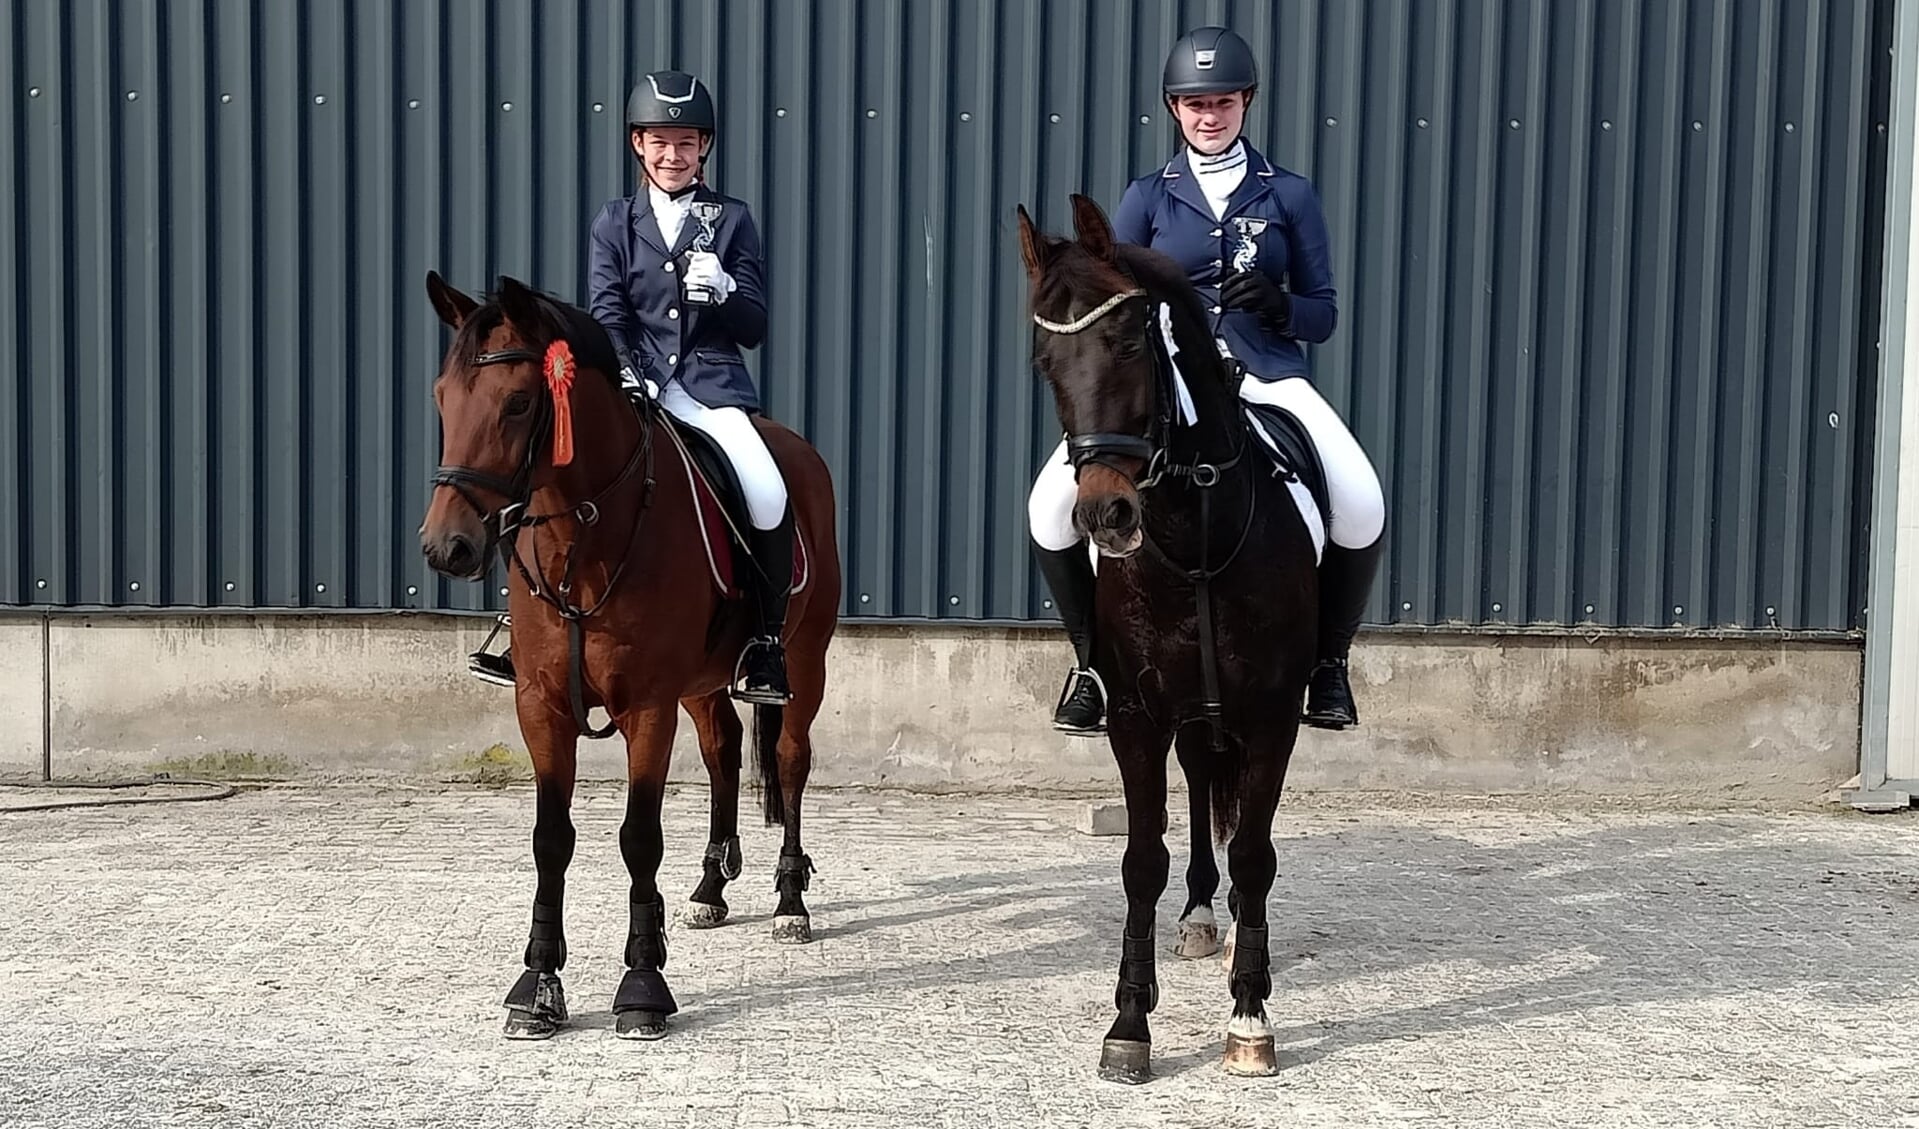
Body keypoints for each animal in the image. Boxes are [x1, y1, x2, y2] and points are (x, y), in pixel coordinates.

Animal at [420, 266, 840, 1044]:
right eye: (442, 397)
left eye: (518, 401)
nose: (446, 548)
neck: (585, 536)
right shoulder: (542, 706)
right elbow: (550, 838)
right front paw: (537, 985)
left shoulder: (646, 705)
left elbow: (639, 836)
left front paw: (642, 985)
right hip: (701, 683)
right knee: (723, 749)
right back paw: (710, 887)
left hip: (805, 656)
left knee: (791, 759)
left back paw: (790, 902)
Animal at [1020, 198, 1320, 1082]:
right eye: (1045, 359)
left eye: (1126, 341)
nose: (1104, 516)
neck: (1193, 533)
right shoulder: (1136, 717)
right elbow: (1139, 860)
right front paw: (1128, 1023)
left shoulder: (1271, 716)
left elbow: (1255, 854)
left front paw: (1250, 1015)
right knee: (1196, 784)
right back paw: (1195, 915)